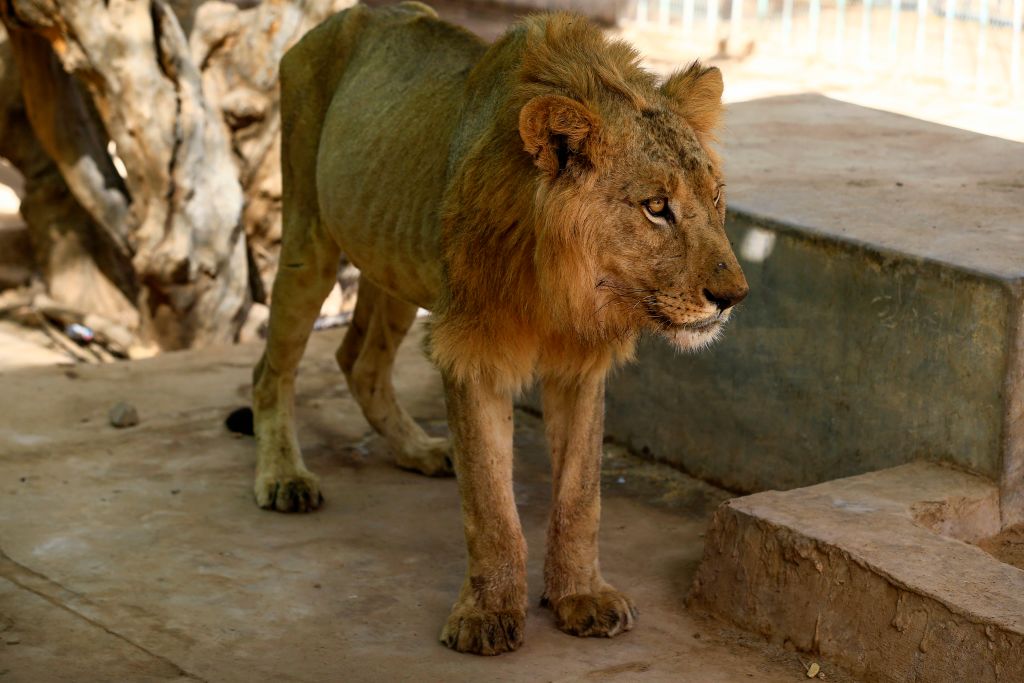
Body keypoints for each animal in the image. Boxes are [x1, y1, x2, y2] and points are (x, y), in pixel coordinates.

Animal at [252, 1, 748, 656]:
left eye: (716, 200)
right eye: (656, 207)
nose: (734, 297)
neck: (562, 288)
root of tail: (339, 20)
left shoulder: (580, 364)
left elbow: (580, 498)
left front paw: (581, 596)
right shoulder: (470, 350)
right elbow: (490, 504)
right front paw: (486, 615)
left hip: (400, 266)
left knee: (359, 362)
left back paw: (418, 449)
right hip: (310, 239)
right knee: (271, 370)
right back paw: (284, 476)